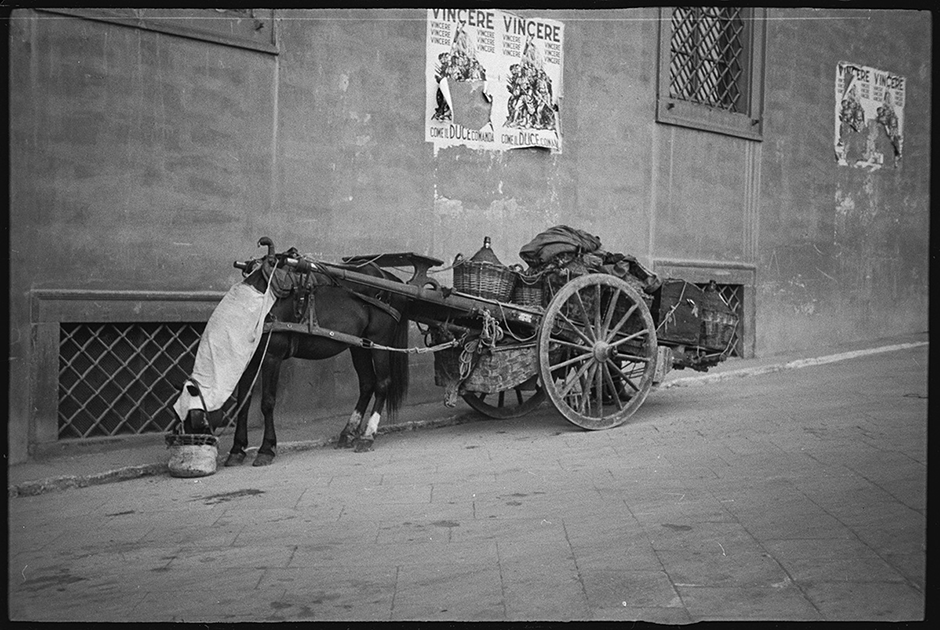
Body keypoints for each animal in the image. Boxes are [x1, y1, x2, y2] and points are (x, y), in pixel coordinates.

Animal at [220, 253, 412, 470]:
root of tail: (392, 280)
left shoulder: (271, 356)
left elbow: (267, 402)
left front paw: (266, 449)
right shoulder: (250, 360)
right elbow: (243, 403)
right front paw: (237, 450)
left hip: (379, 341)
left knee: (382, 384)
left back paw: (367, 436)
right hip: (360, 345)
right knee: (367, 383)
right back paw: (348, 433)